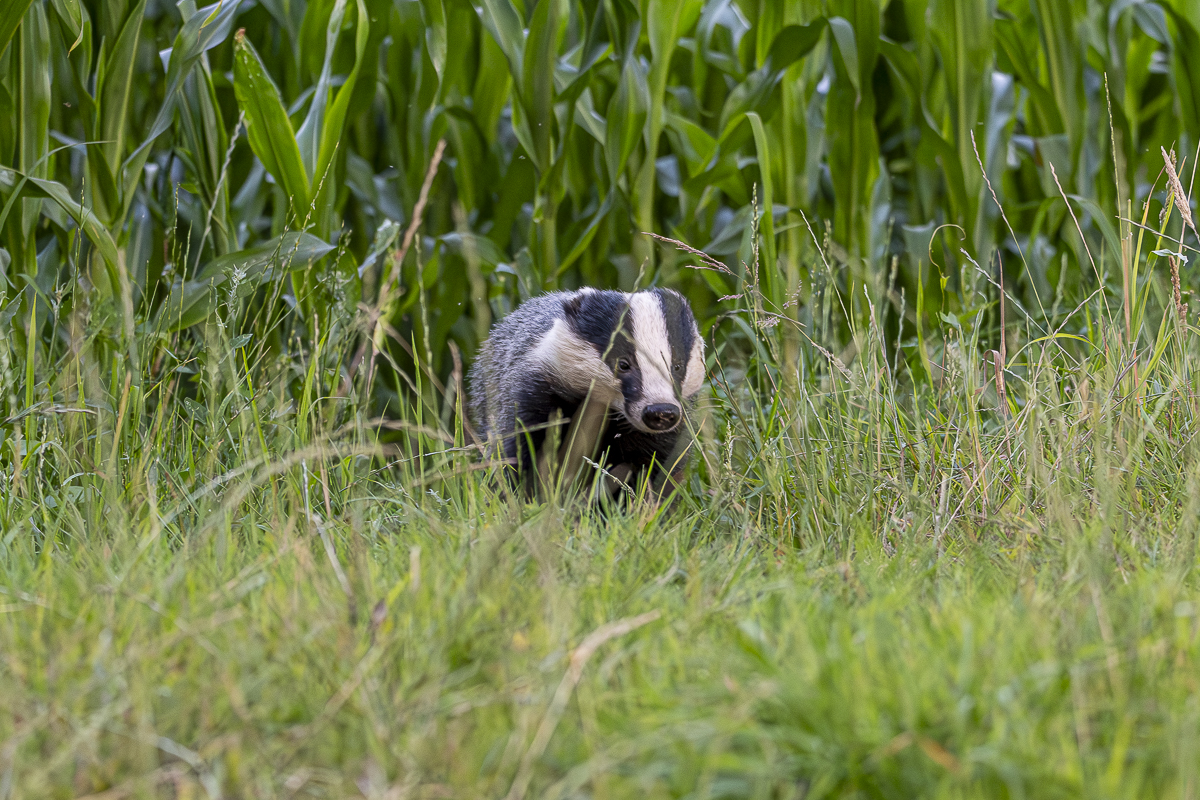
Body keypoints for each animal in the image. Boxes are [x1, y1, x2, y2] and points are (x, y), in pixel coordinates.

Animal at [467, 287, 705, 499]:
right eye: (623, 364)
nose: (660, 412)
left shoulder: (668, 432)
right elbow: (520, 448)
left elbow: (655, 468)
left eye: (677, 366)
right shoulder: (535, 389)